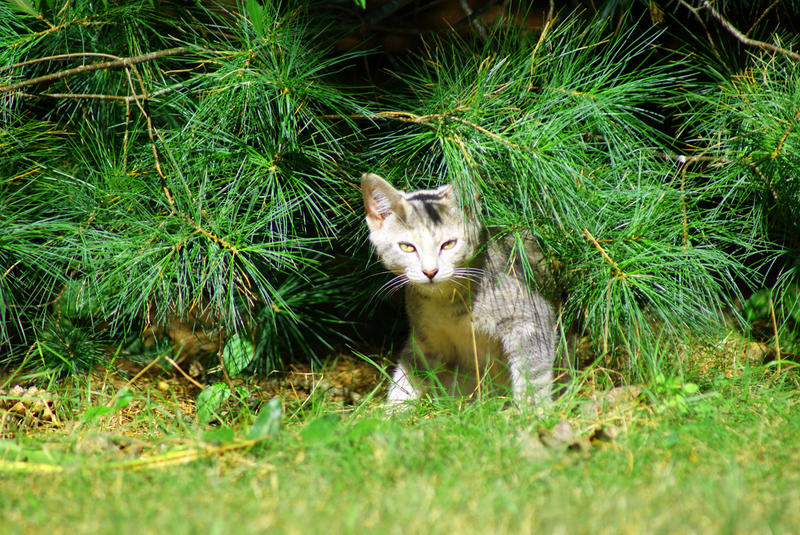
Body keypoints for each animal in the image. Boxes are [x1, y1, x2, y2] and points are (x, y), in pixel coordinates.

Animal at [360, 174, 552, 408]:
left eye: (448, 244)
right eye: (407, 247)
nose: (430, 271)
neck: (447, 304)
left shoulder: (530, 318)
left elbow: (533, 374)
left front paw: (534, 410)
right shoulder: (425, 339)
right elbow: (408, 375)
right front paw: (394, 410)